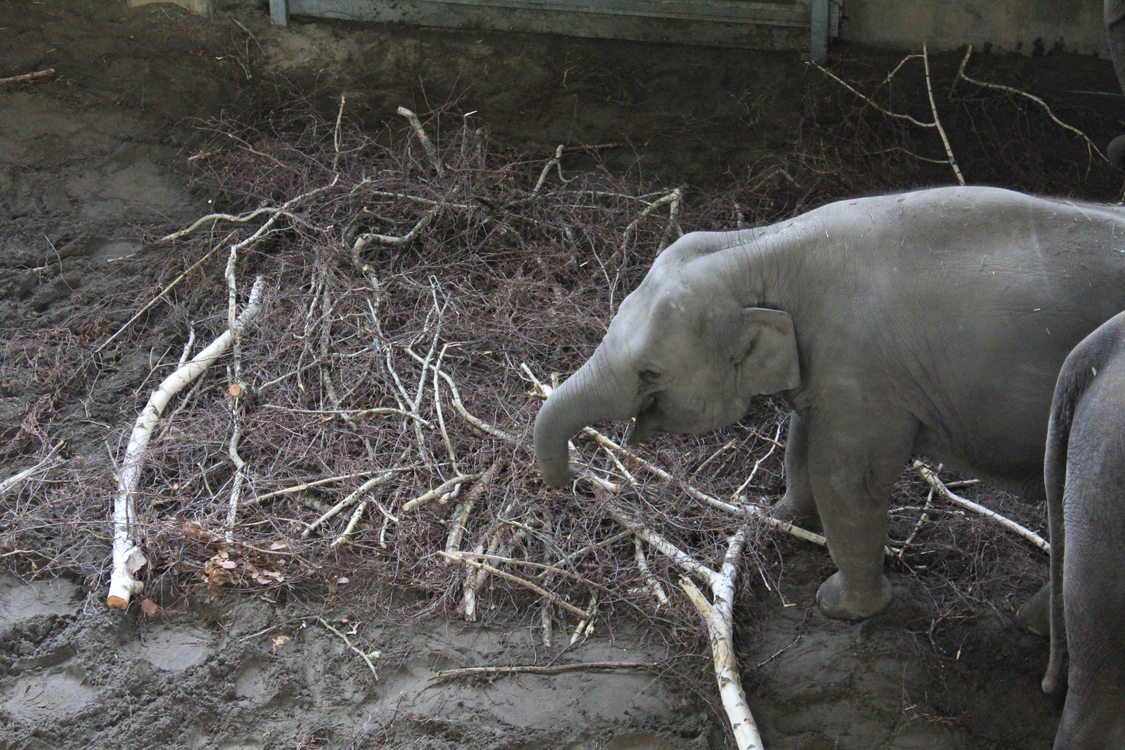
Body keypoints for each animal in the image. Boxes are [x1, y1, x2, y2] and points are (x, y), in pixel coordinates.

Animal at [531, 187, 1125, 620]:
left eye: (649, 372)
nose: (570, 479)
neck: (763, 247)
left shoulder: (866, 373)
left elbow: (846, 476)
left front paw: (840, 607)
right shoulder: (830, 368)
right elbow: (802, 436)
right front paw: (777, 517)